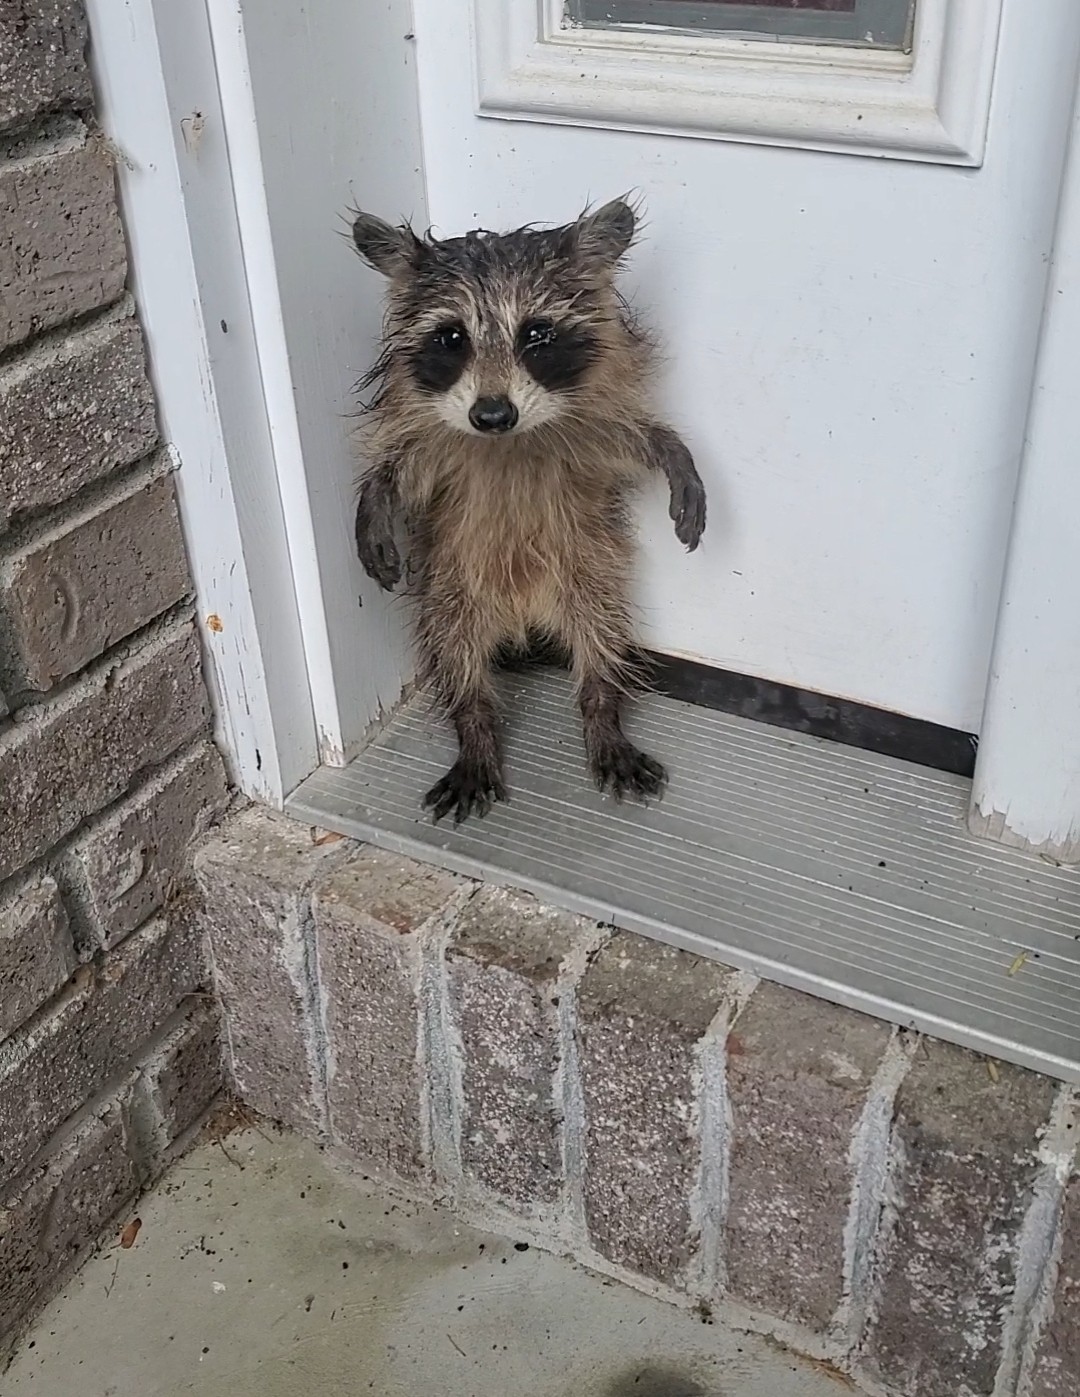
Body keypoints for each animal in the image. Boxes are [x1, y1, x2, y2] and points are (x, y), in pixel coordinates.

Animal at [351, 198, 706, 825]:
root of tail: (524, 618)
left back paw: (601, 708)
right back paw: (474, 726)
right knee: (454, 650)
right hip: (452, 583)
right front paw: (375, 497)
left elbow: (635, 439)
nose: (493, 415)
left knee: (601, 635)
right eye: (451, 337)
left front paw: (673, 452)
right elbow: (401, 469)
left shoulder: (589, 431)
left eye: (536, 333)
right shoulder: (433, 443)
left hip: (588, 568)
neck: (509, 442)